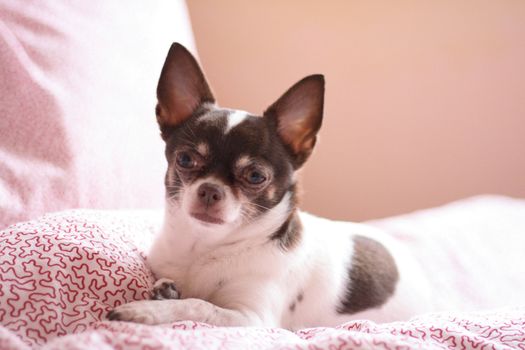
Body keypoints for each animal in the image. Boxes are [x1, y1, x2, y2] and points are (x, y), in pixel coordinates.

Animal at [107, 42, 434, 330]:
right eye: (186, 159)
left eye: (255, 176)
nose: (210, 190)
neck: (205, 248)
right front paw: (165, 293)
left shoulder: (250, 318)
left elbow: (199, 304)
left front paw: (145, 311)